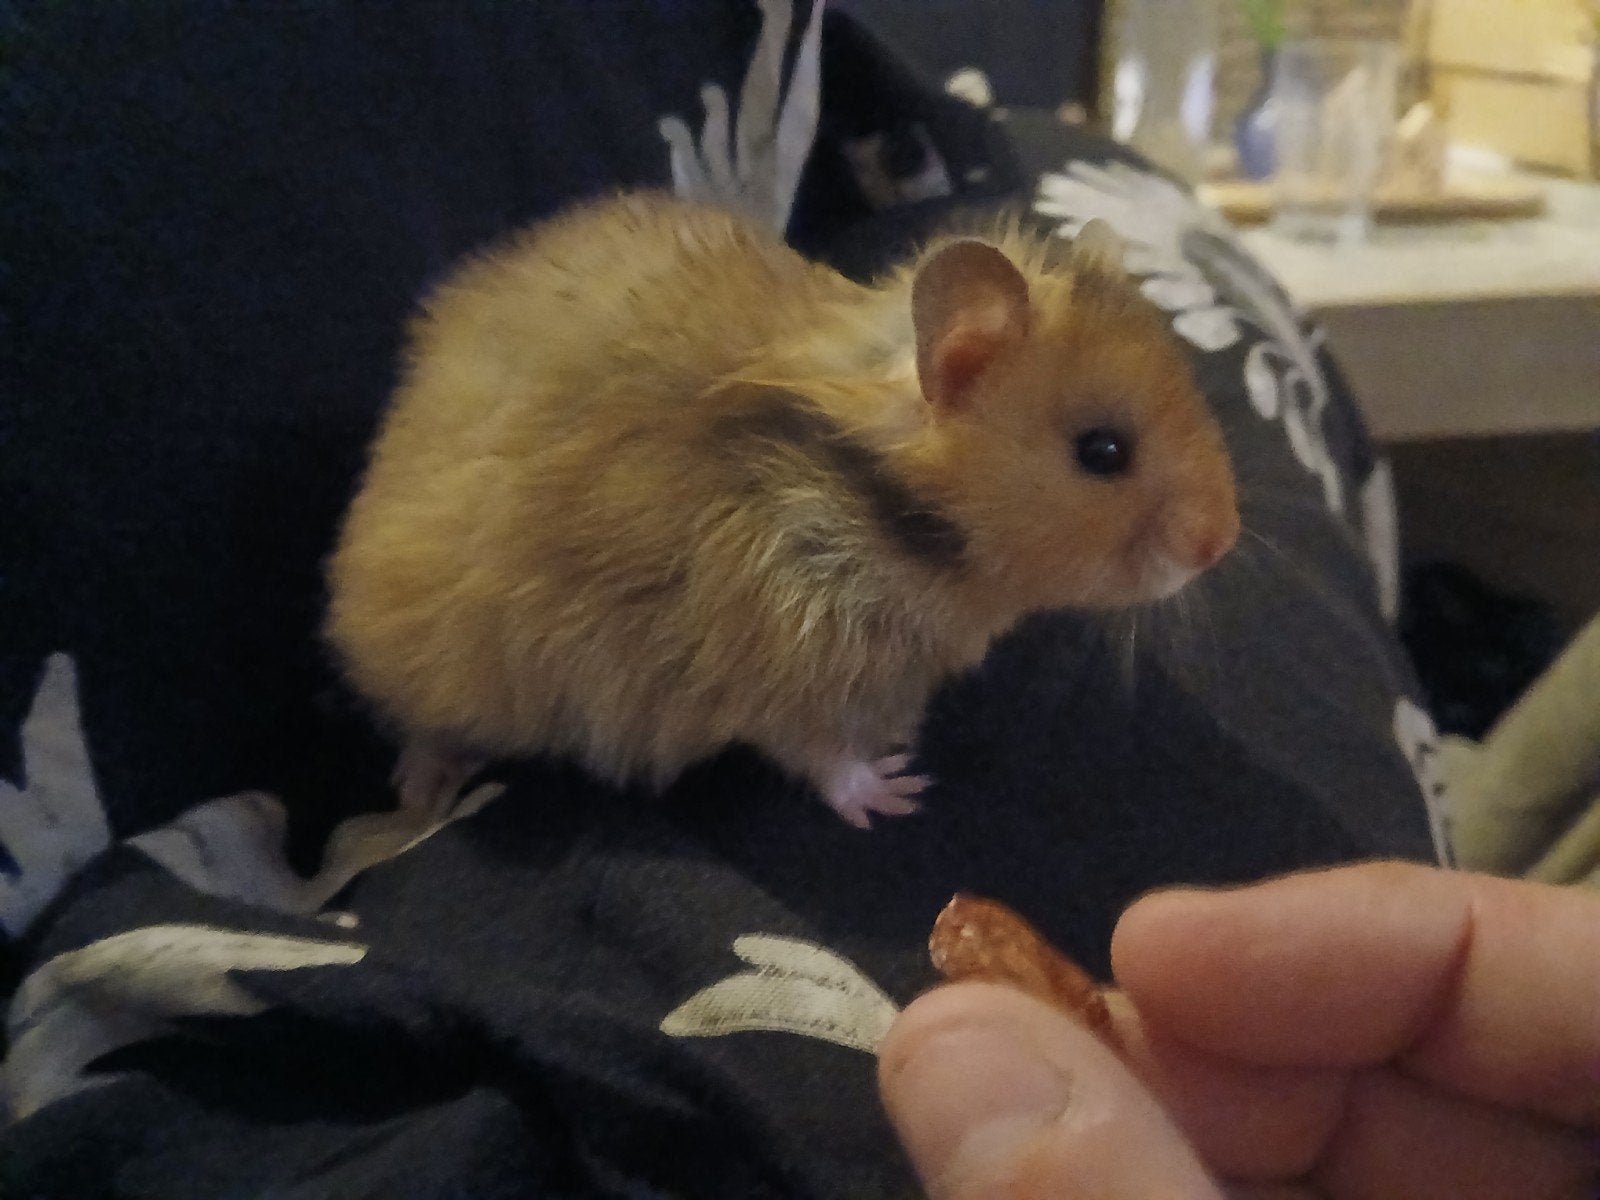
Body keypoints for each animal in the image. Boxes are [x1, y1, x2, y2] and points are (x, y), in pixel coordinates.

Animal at [325, 191, 1238, 828]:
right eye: (1103, 452)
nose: (1221, 544)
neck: (886, 515)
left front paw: (899, 744)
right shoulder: (769, 662)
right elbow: (816, 751)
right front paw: (896, 792)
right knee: (420, 719)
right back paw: (423, 793)